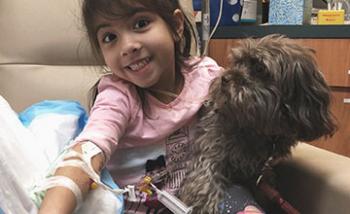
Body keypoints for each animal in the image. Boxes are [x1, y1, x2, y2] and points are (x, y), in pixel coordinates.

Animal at [180, 34, 336, 213]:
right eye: (237, 62)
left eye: (260, 68)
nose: (224, 78)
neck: (256, 129)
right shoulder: (210, 152)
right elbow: (204, 185)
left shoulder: (261, 174)